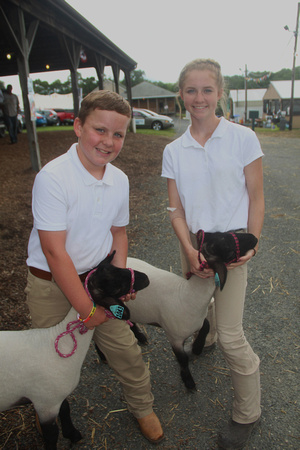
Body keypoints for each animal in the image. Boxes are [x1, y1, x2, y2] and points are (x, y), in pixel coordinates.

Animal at [0, 253, 149, 450]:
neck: (58, 343)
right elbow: (51, 435)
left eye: (119, 268)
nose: (146, 278)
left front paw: (72, 433)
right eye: (116, 284)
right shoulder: (45, 403)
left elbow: (65, 409)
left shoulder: (57, 397)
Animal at [94, 232, 258, 390]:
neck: (188, 293)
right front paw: (188, 381)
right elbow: (183, 359)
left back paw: (140, 336)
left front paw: (197, 348)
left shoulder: (198, 322)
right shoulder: (175, 338)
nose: (254, 238)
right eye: (228, 249)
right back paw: (103, 356)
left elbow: (206, 326)